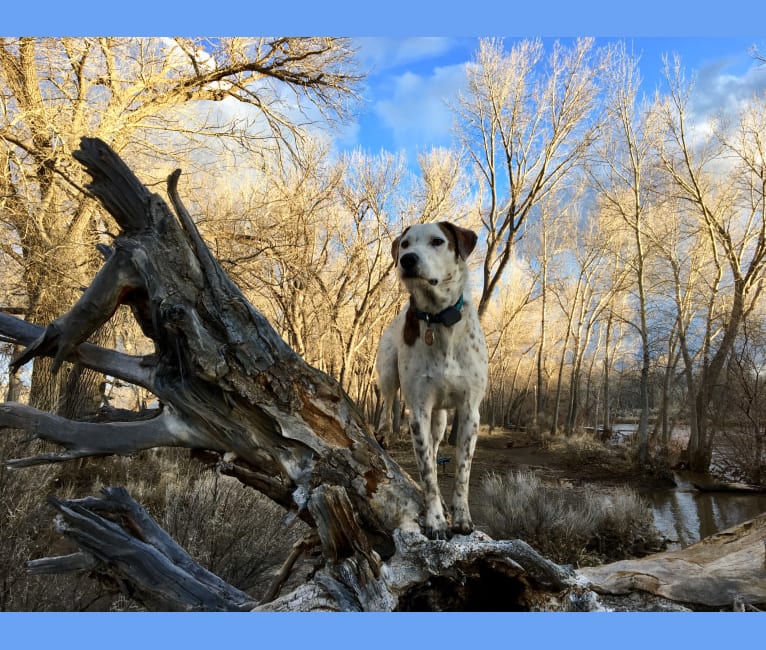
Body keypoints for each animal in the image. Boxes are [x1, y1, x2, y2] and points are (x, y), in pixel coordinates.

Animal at [376, 221, 488, 536]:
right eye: (404, 244)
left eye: (438, 241)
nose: (407, 260)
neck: (439, 320)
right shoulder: (419, 412)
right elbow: (426, 473)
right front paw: (436, 519)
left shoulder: (469, 412)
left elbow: (461, 472)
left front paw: (461, 517)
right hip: (388, 372)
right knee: (387, 400)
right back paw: (383, 431)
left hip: (440, 419)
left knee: (437, 449)